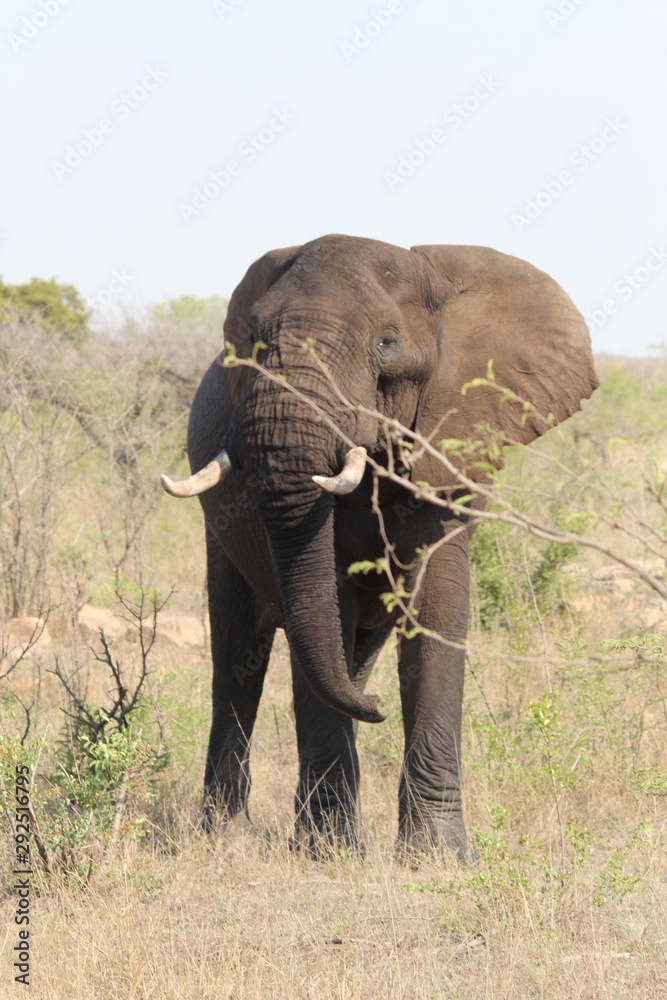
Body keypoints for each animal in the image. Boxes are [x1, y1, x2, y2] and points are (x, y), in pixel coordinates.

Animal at [163, 234, 600, 860]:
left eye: (386, 344)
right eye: (257, 339)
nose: (379, 714)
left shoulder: (450, 448)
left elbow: (437, 605)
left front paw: (438, 857)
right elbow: (327, 596)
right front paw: (333, 852)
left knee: (350, 656)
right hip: (215, 527)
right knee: (240, 651)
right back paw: (226, 834)